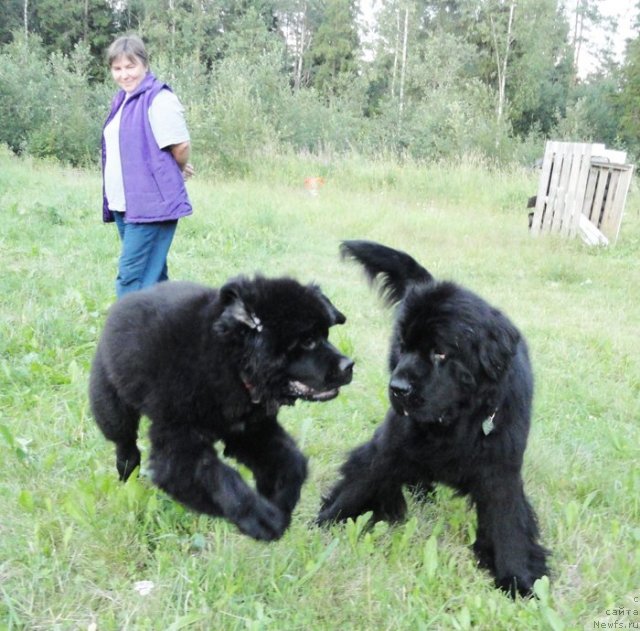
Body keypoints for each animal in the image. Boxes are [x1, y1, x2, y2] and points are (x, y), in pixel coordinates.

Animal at [89, 278, 356, 544]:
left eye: (326, 335)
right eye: (307, 340)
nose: (349, 365)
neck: (231, 363)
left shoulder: (249, 430)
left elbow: (291, 460)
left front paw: (281, 501)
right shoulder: (178, 445)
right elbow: (221, 479)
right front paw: (262, 519)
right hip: (111, 404)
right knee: (124, 442)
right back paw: (128, 474)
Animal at [320, 241, 552, 596]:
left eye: (440, 353)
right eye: (403, 346)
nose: (398, 388)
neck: (455, 421)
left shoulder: (501, 465)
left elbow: (508, 521)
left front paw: (517, 578)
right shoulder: (390, 444)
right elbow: (360, 483)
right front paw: (321, 524)